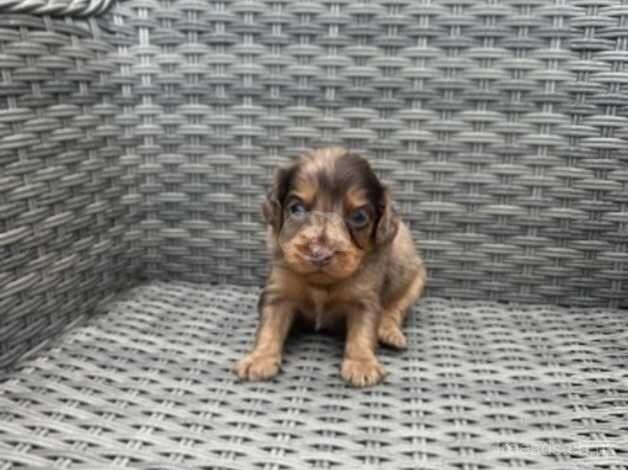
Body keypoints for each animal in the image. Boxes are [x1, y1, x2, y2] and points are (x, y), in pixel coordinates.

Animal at [236, 147, 426, 386]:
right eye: (297, 209)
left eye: (359, 217)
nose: (320, 253)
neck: (321, 283)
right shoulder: (279, 292)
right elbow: (269, 327)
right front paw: (259, 358)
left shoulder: (364, 299)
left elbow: (363, 331)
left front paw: (362, 363)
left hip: (413, 275)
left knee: (395, 307)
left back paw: (389, 332)